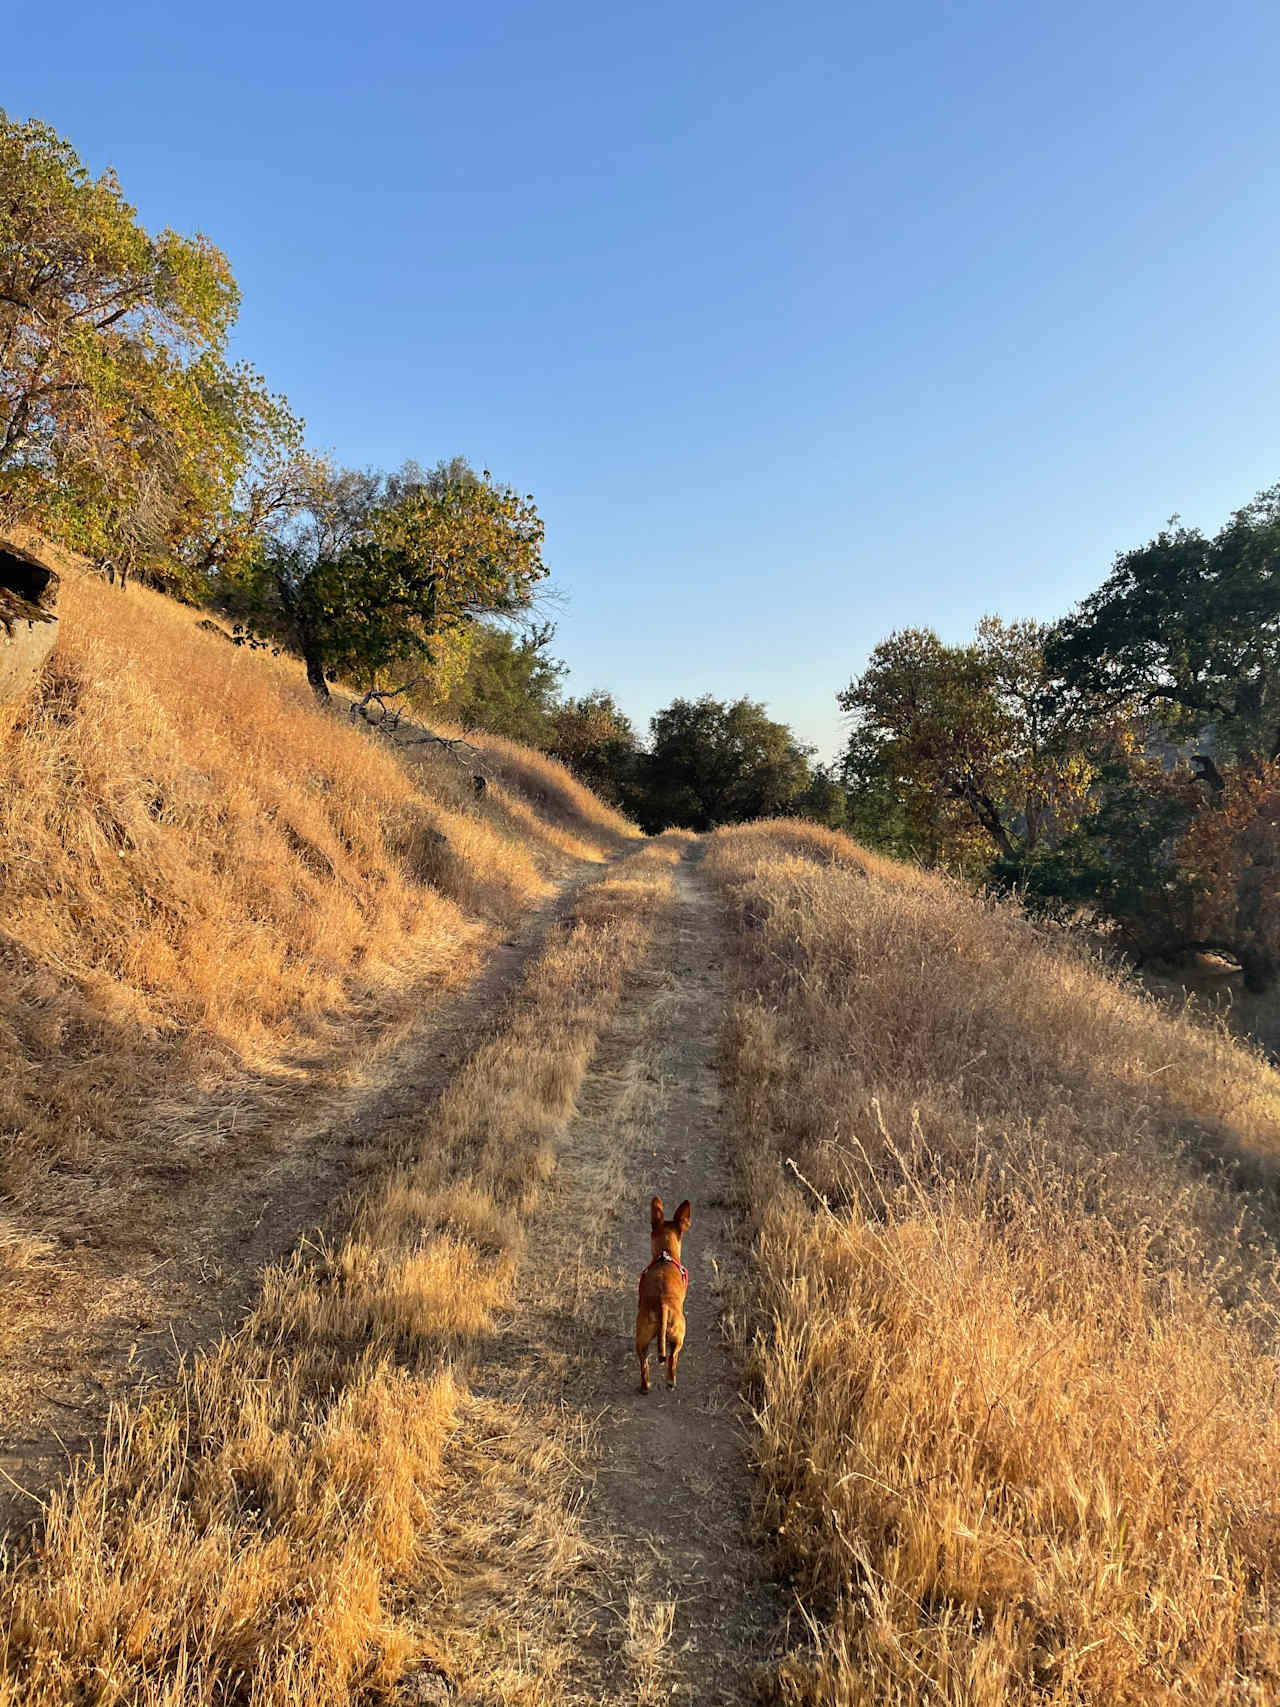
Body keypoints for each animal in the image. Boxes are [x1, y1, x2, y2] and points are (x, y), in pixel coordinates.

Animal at [634, 1194, 692, 1392]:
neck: (664, 1254)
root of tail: (663, 1305)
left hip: (642, 1338)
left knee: (644, 1366)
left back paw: (645, 1387)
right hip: (678, 1336)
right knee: (672, 1359)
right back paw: (670, 1381)